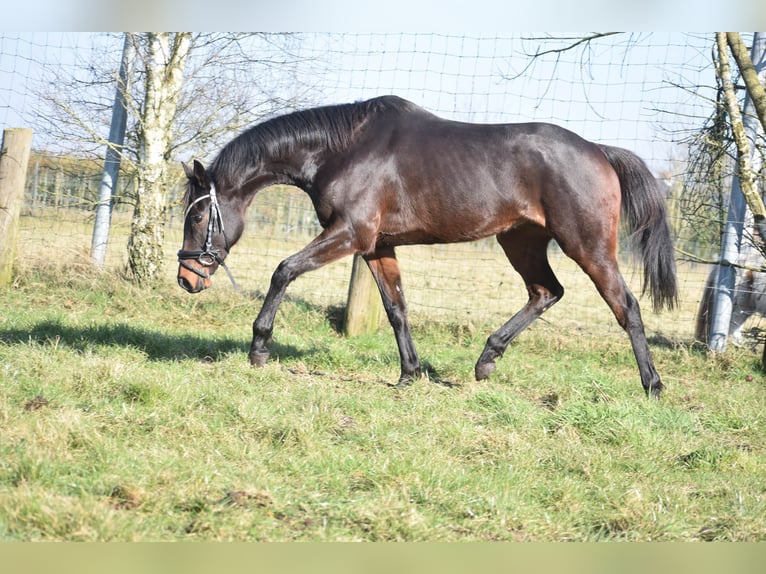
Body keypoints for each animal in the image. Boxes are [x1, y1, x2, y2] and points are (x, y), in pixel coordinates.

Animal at [178, 97, 680, 398]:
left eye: (197, 216)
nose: (186, 277)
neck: (343, 150)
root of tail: (599, 150)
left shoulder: (350, 234)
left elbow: (283, 269)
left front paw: (259, 348)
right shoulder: (376, 247)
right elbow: (396, 308)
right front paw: (409, 373)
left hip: (587, 246)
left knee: (625, 306)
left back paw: (653, 385)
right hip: (520, 240)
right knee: (545, 292)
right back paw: (486, 360)